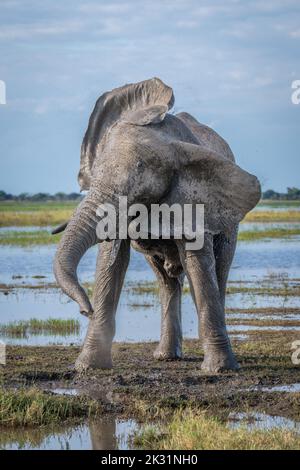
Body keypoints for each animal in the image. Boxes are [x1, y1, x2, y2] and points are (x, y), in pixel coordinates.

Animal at [53, 78, 260, 374]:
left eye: (140, 178)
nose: (85, 310)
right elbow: (111, 261)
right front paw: (88, 367)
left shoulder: (195, 200)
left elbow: (198, 262)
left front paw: (219, 370)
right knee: (165, 280)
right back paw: (166, 356)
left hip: (229, 222)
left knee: (220, 268)